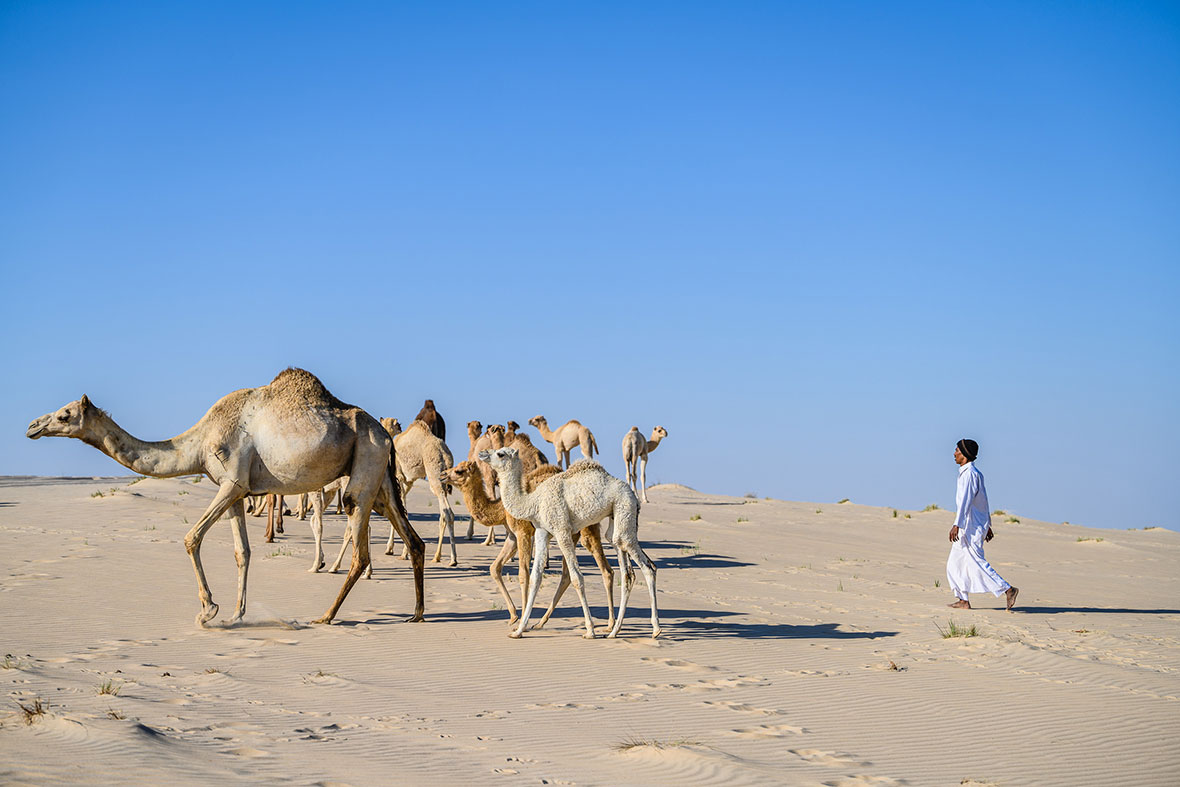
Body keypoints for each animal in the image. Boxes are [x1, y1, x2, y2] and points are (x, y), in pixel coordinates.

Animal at [25, 368, 424, 627]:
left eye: (64, 415)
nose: (32, 426)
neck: (199, 442)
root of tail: (384, 434)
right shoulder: (238, 493)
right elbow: (242, 552)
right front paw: (236, 615)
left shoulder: (231, 482)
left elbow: (192, 537)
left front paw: (208, 611)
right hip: (381, 477)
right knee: (412, 539)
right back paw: (416, 614)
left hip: (364, 466)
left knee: (360, 547)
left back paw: (326, 616)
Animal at [443, 457, 618, 632]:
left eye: (459, 471)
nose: (443, 474)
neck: (501, 509)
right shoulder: (512, 536)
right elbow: (494, 568)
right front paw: (514, 616)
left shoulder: (523, 532)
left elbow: (523, 574)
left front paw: (522, 621)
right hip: (570, 533)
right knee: (570, 575)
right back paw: (541, 622)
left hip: (586, 529)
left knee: (604, 570)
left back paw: (610, 625)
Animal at [483, 448, 660, 641]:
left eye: (500, 454)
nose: (482, 454)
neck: (534, 502)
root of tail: (634, 497)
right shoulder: (542, 531)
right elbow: (536, 577)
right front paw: (519, 630)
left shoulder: (562, 531)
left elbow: (577, 577)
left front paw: (590, 630)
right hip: (616, 521)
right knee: (627, 571)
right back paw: (614, 631)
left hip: (624, 510)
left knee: (647, 567)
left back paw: (655, 629)